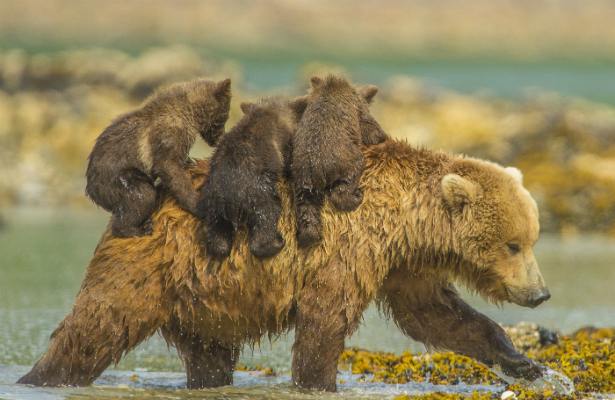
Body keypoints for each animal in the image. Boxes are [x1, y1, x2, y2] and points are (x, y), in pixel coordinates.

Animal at [18, 138, 548, 390]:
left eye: (532, 239)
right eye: (513, 244)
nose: (540, 293)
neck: (406, 222)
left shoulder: (402, 264)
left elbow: (436, 315)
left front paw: (523, 363)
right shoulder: (348, 245)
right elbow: (325, 320)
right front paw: (320, 383)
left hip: (207, 300)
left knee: (210, 357)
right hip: (148, 269)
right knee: (93, 330)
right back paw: (39, 377)